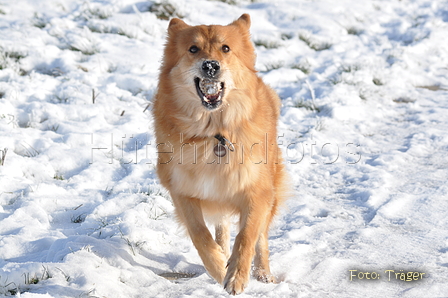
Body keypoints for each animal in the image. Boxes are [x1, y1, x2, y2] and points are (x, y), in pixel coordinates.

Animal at [153, 13, 288, 294]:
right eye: (193, 49)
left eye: (225, 48)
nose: (211, 66)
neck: (214, 132)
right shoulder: (183, 190)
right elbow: (201, 236)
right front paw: (218, 268)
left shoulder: (257, 190)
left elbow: (248, 235)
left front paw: (237, 276)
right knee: (222, 227)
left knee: (262, 236)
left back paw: (263, 273)